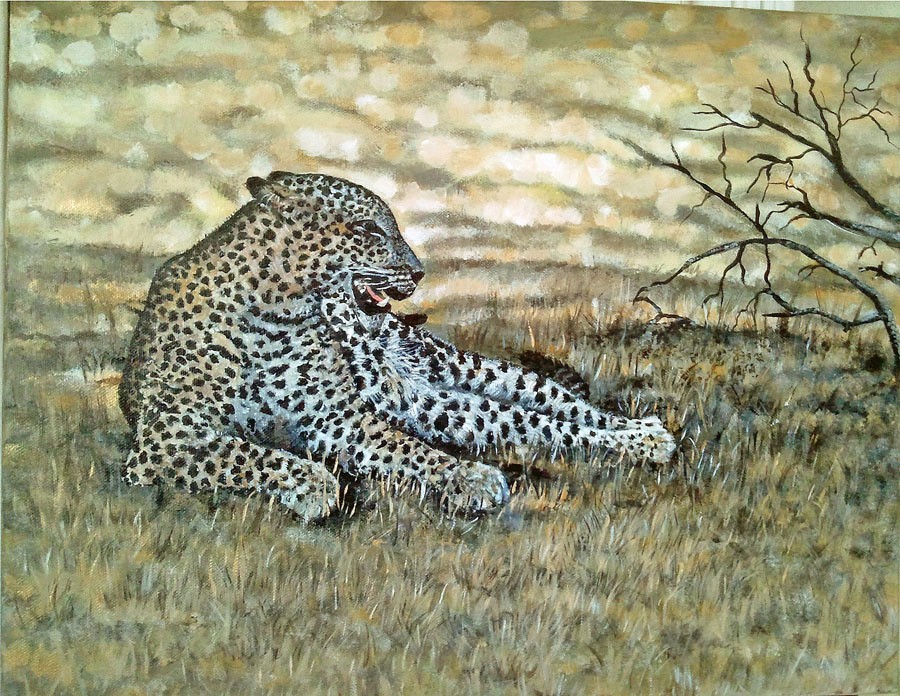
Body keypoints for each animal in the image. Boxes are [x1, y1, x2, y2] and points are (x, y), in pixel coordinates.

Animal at [119, 171, 675, 521]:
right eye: (369, 229)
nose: (419, 271)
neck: (278, 313)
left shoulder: (337, 417)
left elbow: (408, 450)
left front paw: (468, 478)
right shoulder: (168, 438)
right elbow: (250, 455)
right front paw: (315, 486)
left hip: (462, 369)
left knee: (557, 406)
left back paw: (644, 435)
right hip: (430, 403)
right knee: (522, 422)